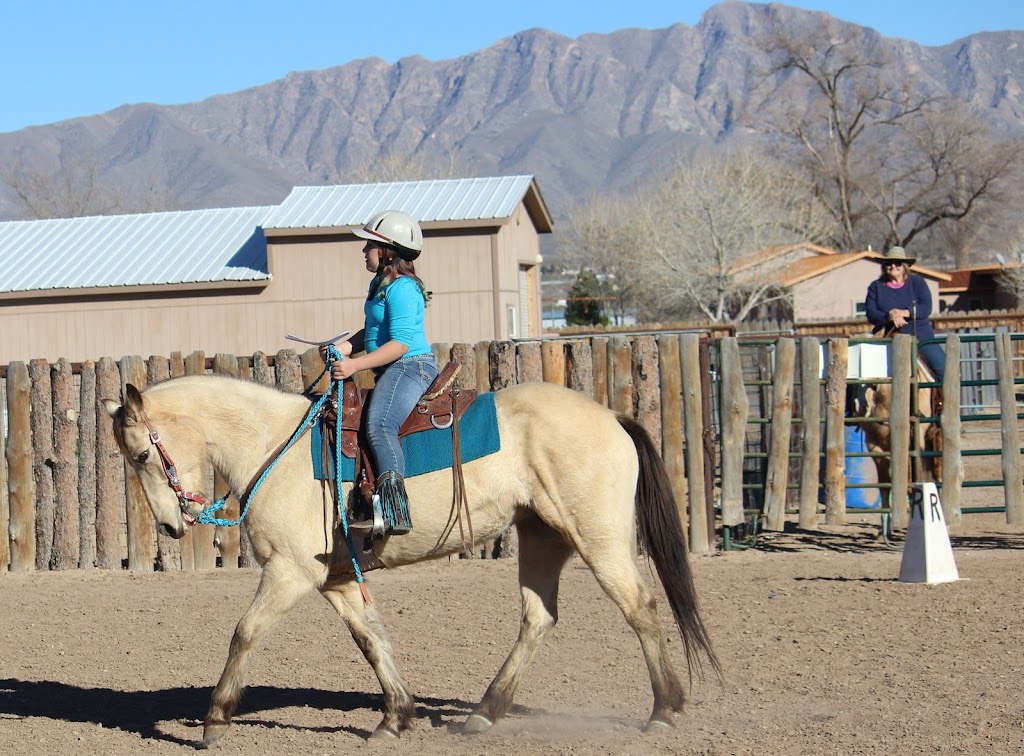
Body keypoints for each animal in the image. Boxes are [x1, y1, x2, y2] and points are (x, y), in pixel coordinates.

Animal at [101, 374, 712, 745]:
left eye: (141, 455)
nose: (170, 525)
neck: (276, 446)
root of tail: (612, 417)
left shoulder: (290, 572)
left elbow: (244, 632)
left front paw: (214, 720)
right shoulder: (337, 580)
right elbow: (372, 640)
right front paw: (397, 716)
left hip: (597, 539)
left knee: (640, 607)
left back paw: (663, 710)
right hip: (542, 538)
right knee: (539, 617)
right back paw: (484, 713)